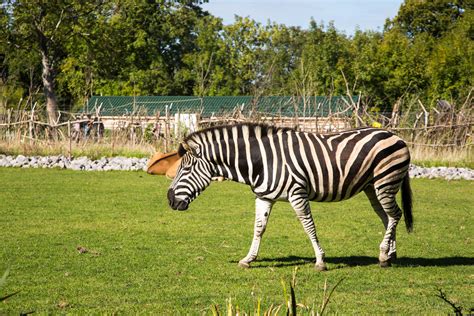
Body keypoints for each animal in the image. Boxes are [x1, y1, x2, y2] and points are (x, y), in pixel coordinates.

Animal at [167, 123, 412, 270]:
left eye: (185, 169)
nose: (169, 199)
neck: (261, 161)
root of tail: (394, 135)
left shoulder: (297, 193)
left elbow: (309, 226)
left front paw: (320, 261)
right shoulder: (263, 197)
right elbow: (259, 228)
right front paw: (248, 259)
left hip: (386, 181)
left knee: (395, 214)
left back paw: (384, 256)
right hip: (372, 187)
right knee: (387, 217)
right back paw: (389, 254)